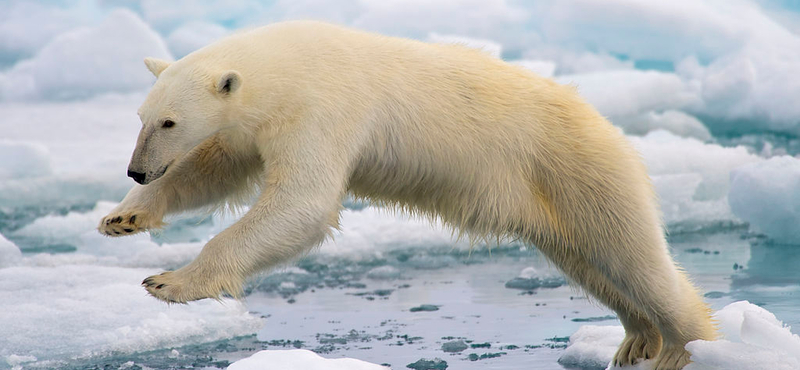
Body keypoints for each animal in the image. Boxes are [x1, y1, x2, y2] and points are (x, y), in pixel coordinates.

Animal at [97, 21, 716, 370]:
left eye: (170, 121)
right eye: (142, 117)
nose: (136, 171)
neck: (286, 66)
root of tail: (606, 125)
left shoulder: (323, 108)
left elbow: (302, 203)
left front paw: (169, 282)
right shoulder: (256, 125)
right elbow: (216, 169)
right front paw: (123, 218)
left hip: (578, 169)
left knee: (632, 256)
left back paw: (684, 347)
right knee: (592, 263)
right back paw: (636, 339)